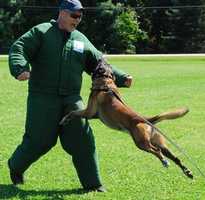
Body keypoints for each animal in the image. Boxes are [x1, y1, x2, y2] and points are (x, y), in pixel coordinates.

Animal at [59, 58, 194, 179]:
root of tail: (146, 120)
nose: (101, 57)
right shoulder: (93, 114)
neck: (106, 82)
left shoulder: (89, 112)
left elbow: (73, 112)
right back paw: (187, 172)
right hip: (160, 143)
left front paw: (64, 120)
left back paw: (164, 161)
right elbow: (74, 113)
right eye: (106, 64)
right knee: (175, 157)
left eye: (101, 65)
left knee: (156, 151)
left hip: (141, 142)